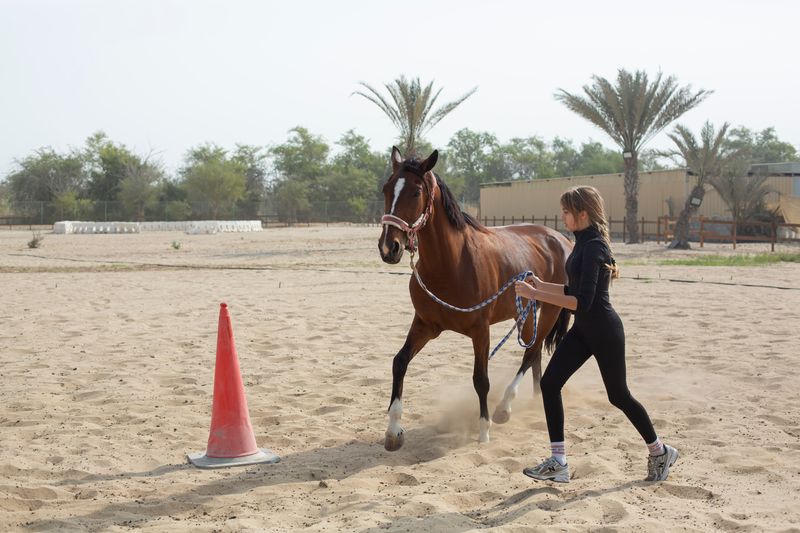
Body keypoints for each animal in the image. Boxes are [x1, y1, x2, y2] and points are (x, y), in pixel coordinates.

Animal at [378, 147, 574, 451]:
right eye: (387, 189)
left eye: (415, 192)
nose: (389, 248)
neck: (452, 264)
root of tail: (559, 238)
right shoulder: (425, 325)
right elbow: (399, 363)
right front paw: (393, 430)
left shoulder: (481, 331)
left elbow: (481, 379)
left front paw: (484, 432)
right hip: (527, 312)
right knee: (535, 353)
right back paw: (534, 399)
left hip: (550, 310)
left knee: (531, 352)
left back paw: (504, 407)